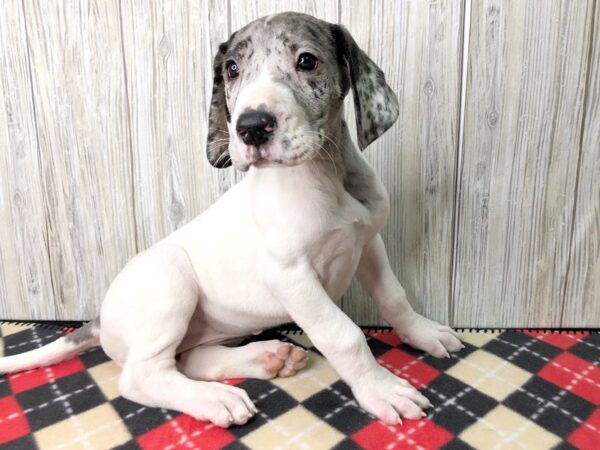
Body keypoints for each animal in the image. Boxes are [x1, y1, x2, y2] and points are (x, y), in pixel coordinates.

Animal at [0, 12, 464, 428]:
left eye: (307, 61)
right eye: (232, 69)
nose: (252, 127)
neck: (326, 176)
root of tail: (98, 318)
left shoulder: (368, 243)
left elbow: (395, 297)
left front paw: (425, 333)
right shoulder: (291, 276)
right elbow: (343, 334)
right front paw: (381, 389)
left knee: (189, 359)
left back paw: (266, 357)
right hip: (170, 279)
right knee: (142, 375)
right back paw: (214, 399)